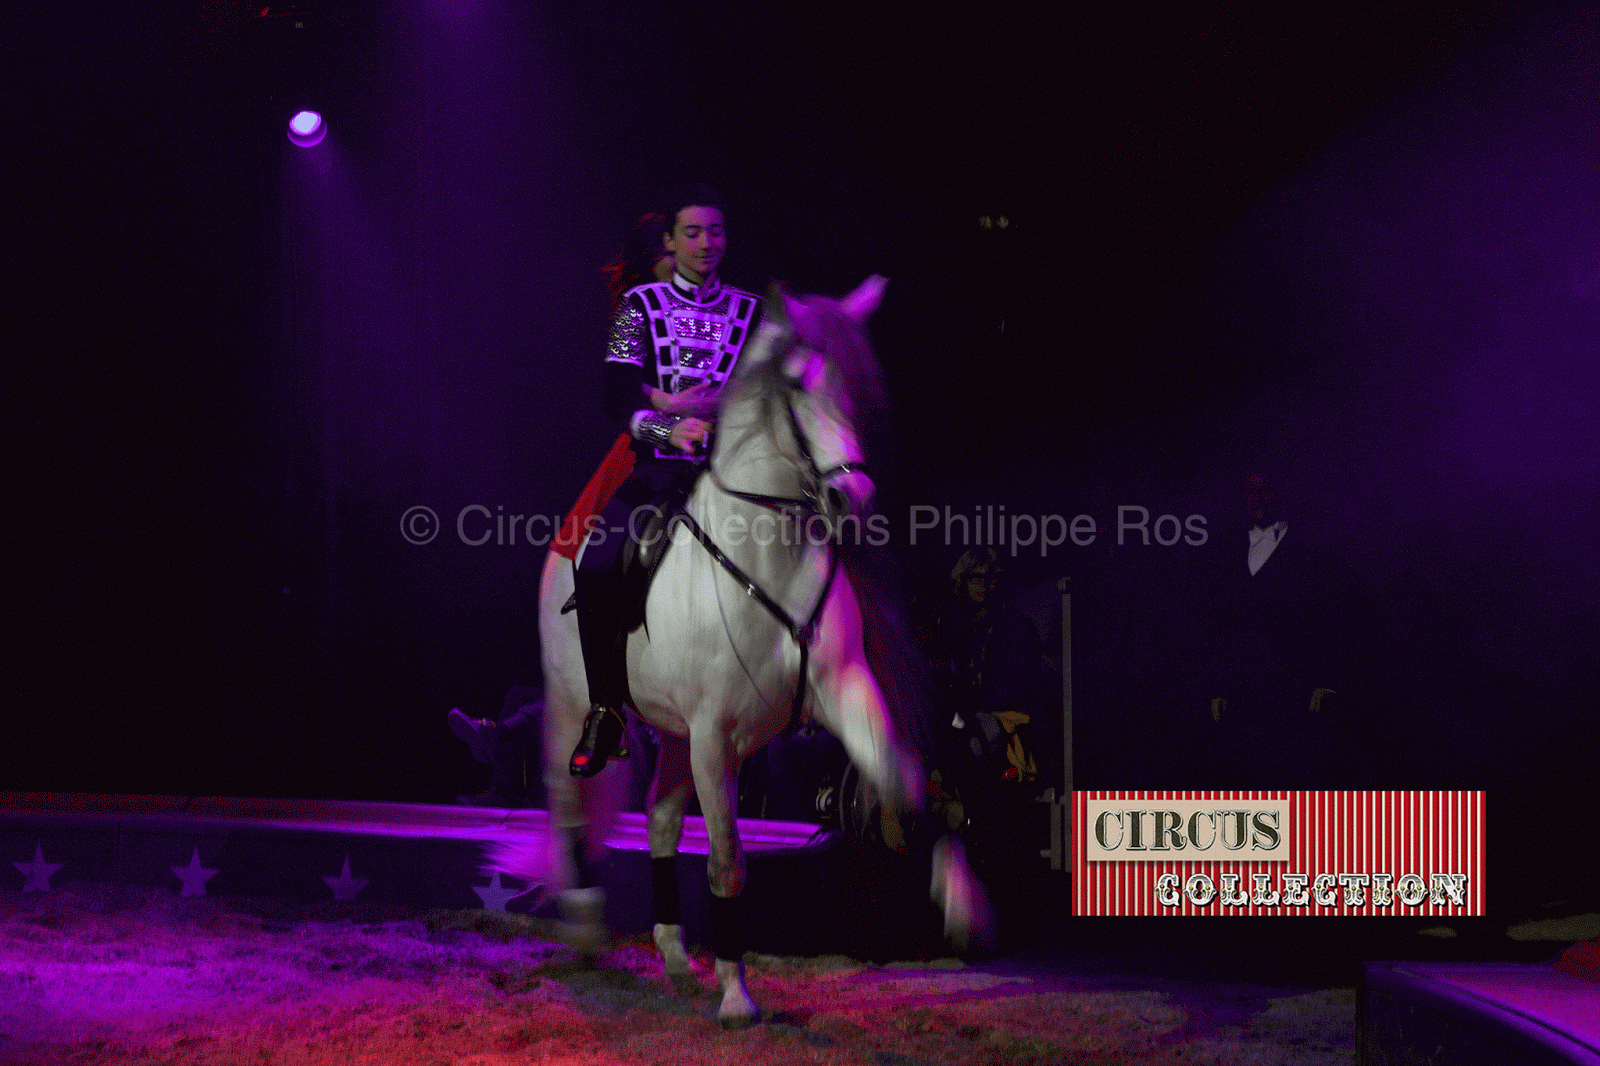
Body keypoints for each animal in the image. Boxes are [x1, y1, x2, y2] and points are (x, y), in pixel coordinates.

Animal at [499, 273, 979, 1024]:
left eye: (859, 384)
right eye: (799, 388)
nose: (853, 497)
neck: (768, 552)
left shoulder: (844, 691)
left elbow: (902, 779)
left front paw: (959, 896)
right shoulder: (713, 735)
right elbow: (727, 858)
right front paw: (736, 995)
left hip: (668, 727)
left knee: (661, 821)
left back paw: (672, 953)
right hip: (571, 706)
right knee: (567, 801)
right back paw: (584, 923)